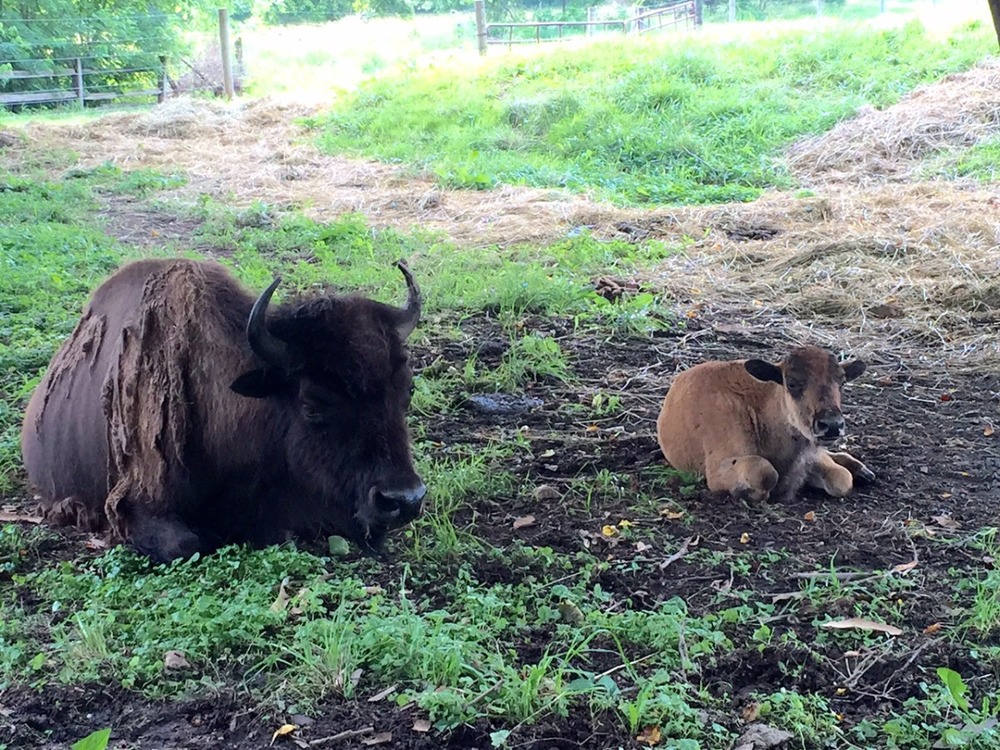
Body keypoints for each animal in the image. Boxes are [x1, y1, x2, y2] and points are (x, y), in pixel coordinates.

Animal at [652, 346, 872, 506]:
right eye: (792, 383)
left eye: (842, 382)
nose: (832, 425)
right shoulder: (717, 470)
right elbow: (765, 472)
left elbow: (840, 479)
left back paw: (863, 471)